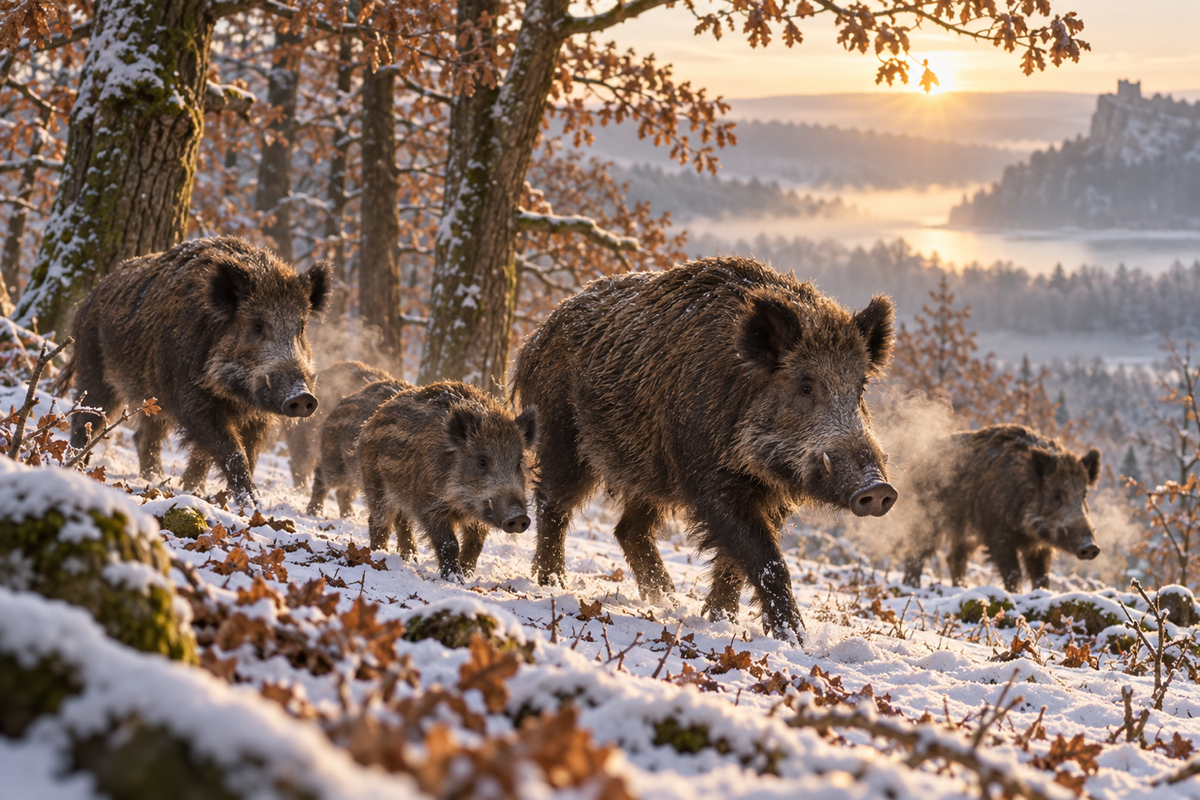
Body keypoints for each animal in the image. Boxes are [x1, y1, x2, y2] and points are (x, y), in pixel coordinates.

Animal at [58, 237, 330, 501]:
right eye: (257, 326)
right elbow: (232, 451)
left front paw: (195, 490)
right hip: (94, 368)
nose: (302, 397)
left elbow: (241, 455)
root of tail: (88, 299)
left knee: (145, 435)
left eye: (301, 329)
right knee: (85, 418)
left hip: (154, 395)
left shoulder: (259, 416)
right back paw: (77, 465)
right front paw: (251, 502)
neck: (236, 396)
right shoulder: (191, 400)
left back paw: (154, 478)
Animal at [357, 381, 537, 579]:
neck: (462, 505)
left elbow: (475, 545)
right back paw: (378, 554)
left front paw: (468, 574)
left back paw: (411, 559)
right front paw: (455, 579)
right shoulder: (430, 505)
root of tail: (372, 418)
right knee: (378, 521)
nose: (518, 516)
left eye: (518, 463)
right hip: (376, 486)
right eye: (481, 461)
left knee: (403, 523)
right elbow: (448, 544)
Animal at [512, 256, 897, 642]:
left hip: (649, 470)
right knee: (553, 502)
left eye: (860, 390)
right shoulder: (707, 478)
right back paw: (552, 582)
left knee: (628, 528)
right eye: (806, 386)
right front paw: (794, 639)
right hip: (562, 434)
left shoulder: (773, 495)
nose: (878, 489)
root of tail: (535, 339)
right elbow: (767, 560)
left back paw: (666, 598)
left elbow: (737, 562)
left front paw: (720, 619)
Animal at [900, 425, 1102, 592]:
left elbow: (1042, 576)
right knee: (915, 554)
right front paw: (1015, 595)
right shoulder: (998, 534)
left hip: (965, 532)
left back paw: (961, 589)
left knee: (954, 559)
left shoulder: (1039, 546)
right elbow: (1014, 573)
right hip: (926, 520)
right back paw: (911, 588)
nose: (1090, 547)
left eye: (1083, 495)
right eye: (1056, 496)